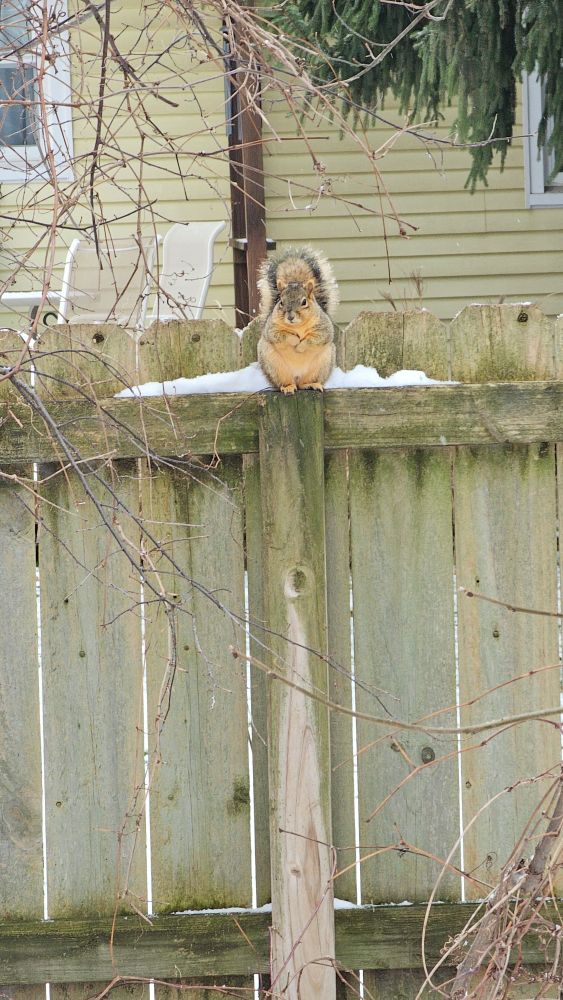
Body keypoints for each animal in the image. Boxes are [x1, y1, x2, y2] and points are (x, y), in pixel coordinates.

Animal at [257, 246, 339, 395]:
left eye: (304, 302)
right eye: (281, 302)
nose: (290, 316)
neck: (297, 326)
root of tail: (297, 377)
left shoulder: (323, 327)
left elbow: (316, 338)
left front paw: (300, 346)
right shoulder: (272, 328)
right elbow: (280, 335)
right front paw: (295, 341)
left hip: (322, 364)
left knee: (303, 383)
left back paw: (311, 384)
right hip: (274, 367)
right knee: (286, 382)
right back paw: (288, 387)